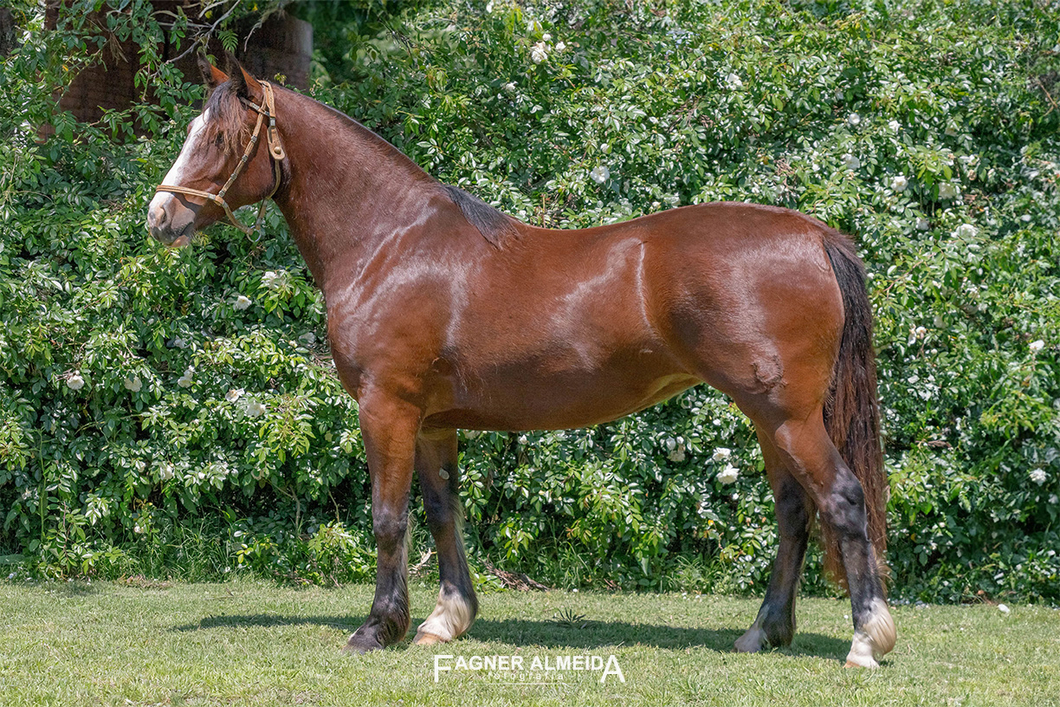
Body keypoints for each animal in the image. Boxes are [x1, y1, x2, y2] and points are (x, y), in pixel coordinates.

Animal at [147, 56, 894, 669]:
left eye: (219, 138)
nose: (159, 218)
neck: (390, 242)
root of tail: (814, 234)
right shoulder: (432, 419)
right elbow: (442, 510)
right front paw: (445, 620)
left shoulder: (386, 406)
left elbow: (389, 517)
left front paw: (376, 629)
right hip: (770, 416)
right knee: (794, 511)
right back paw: (763, 631)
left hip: (786, 414)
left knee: (841, 498)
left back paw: (866, 640)